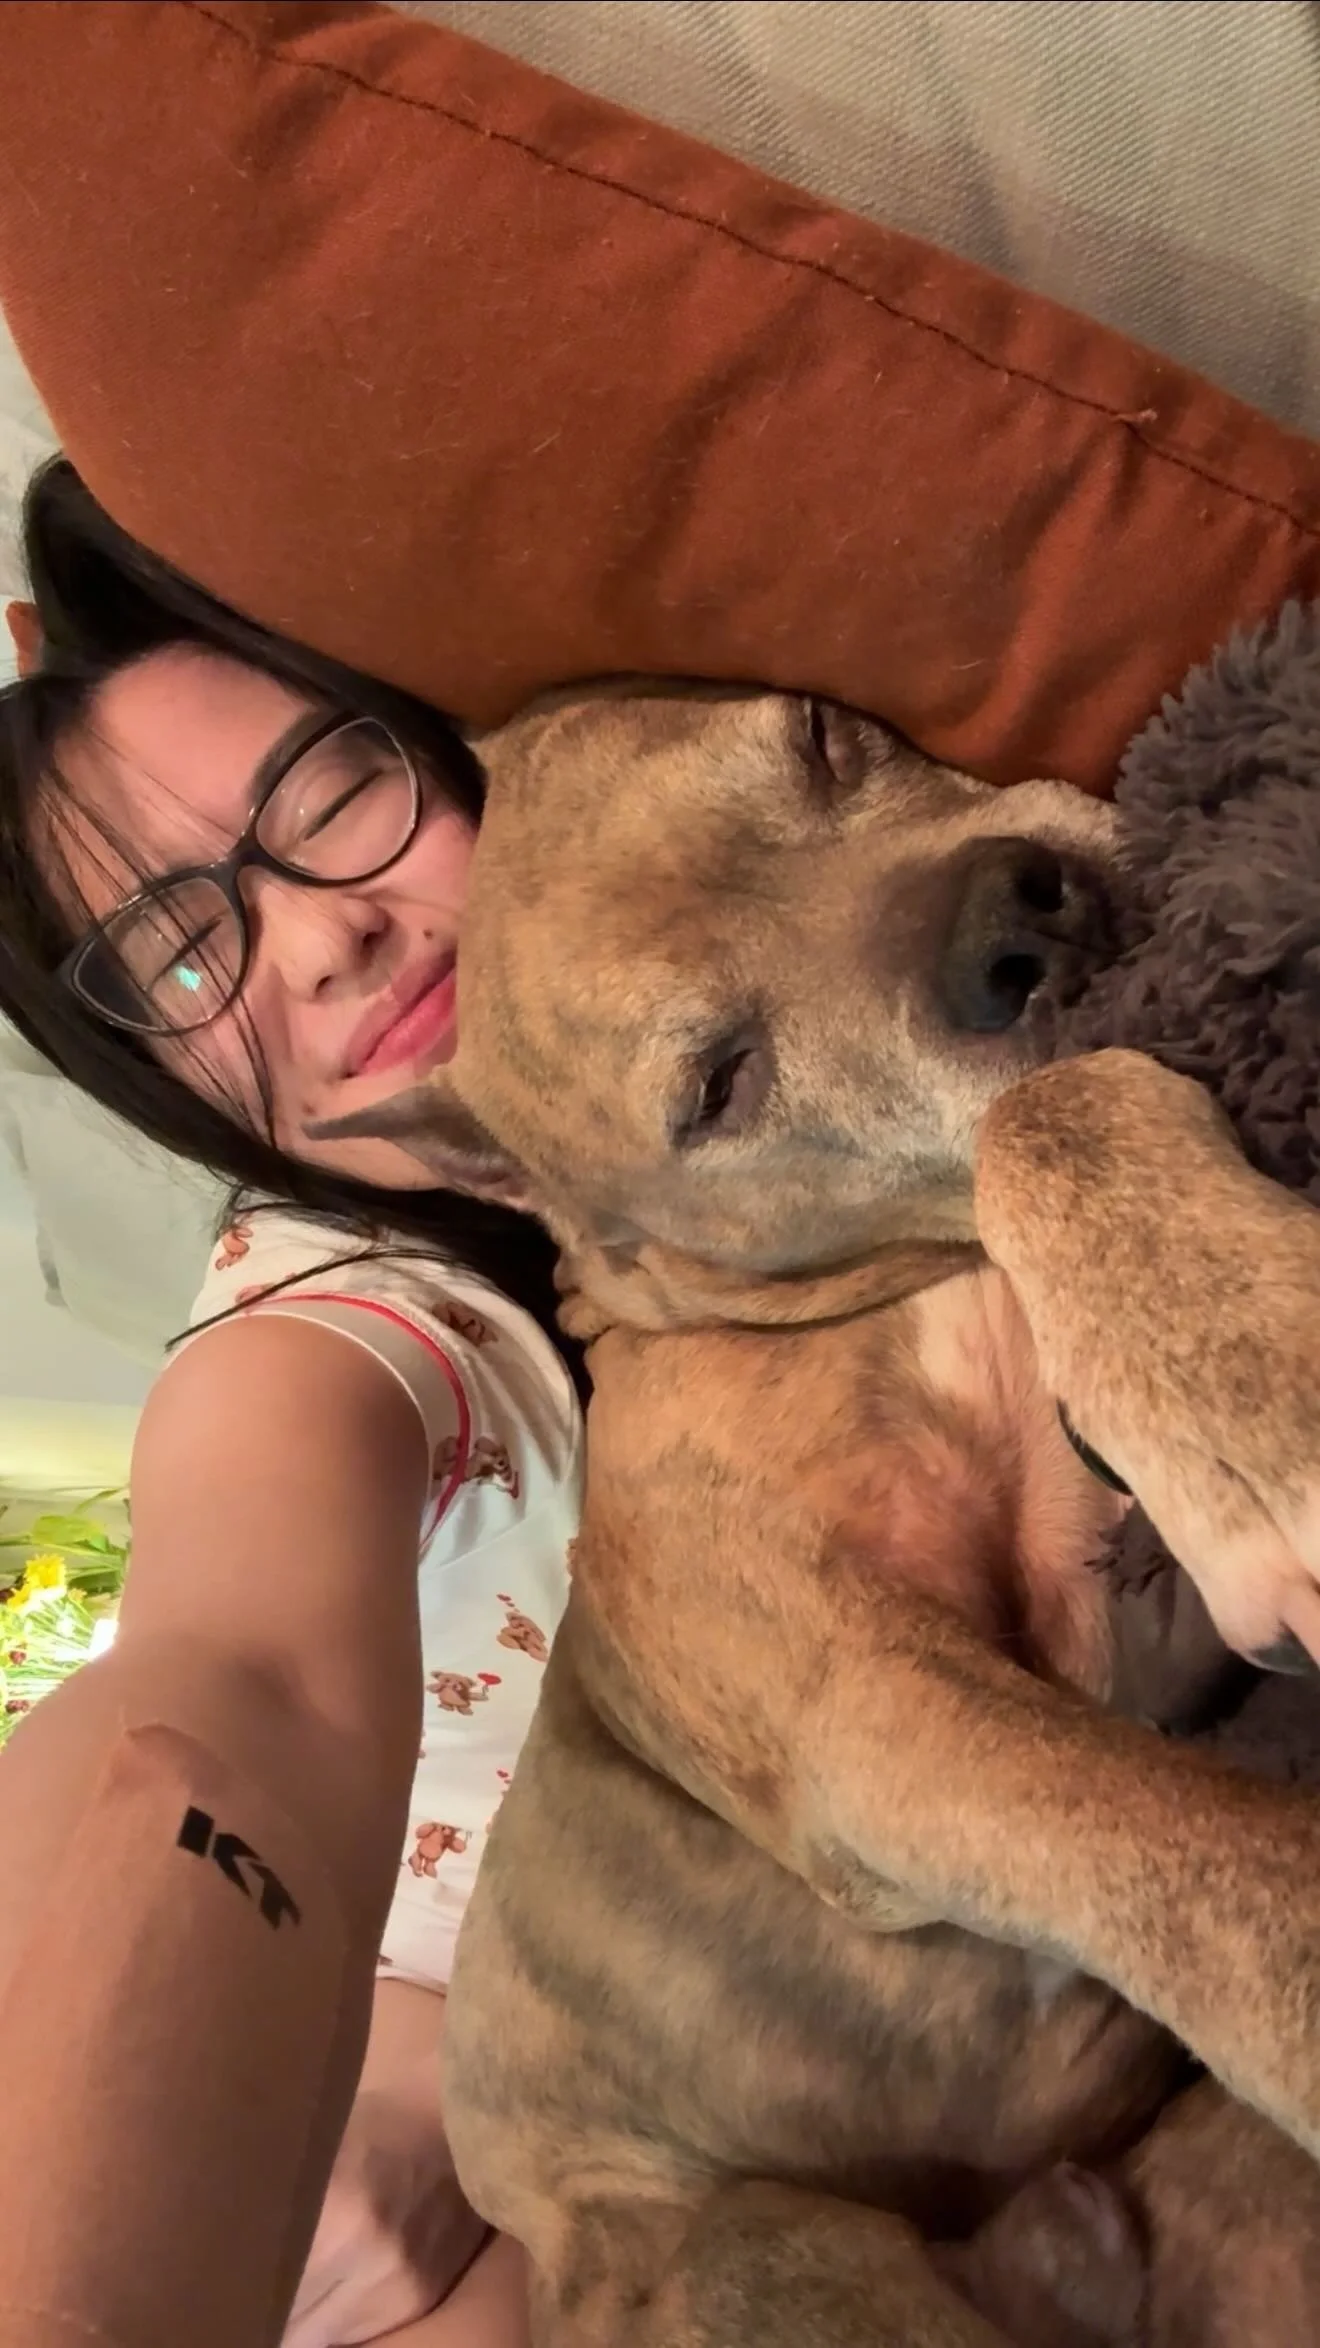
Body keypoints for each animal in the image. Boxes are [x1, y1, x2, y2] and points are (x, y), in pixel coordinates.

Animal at [326, 689, 1320, 2344]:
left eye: (819, 740)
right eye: (716, 1088)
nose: (1014, 920)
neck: (906, 1288)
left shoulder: (1106, 1613)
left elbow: (1049, 1107)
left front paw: (1242, 1361)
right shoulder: (877, 1705)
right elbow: (1163, 1830)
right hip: (756, 2250)